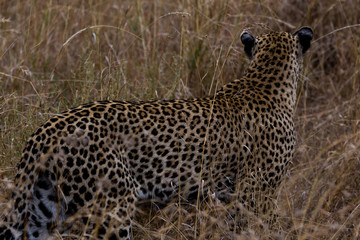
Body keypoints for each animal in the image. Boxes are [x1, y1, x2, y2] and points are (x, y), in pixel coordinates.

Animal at [0, 26, 312, 240]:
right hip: (110, 210)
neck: (265, 78)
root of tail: (45, 132)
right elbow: (272, 228)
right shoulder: (258, 192)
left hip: (39, 211)